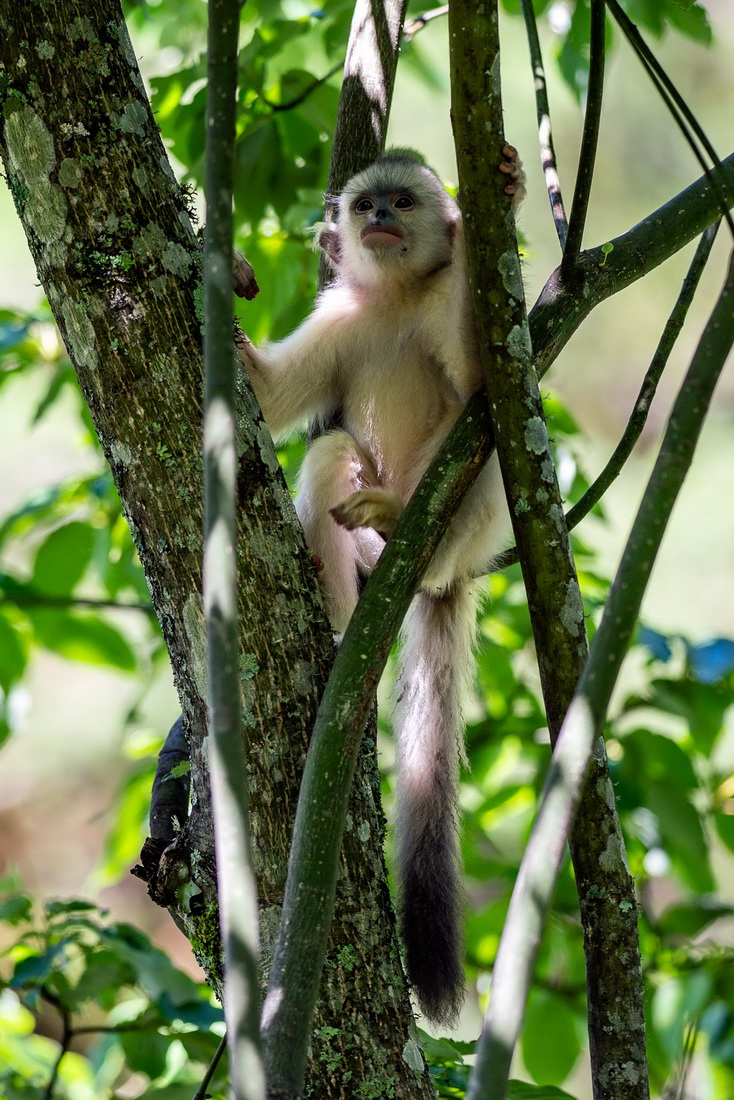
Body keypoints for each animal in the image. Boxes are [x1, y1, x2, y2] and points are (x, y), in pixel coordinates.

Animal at [238, 147, 525, 1026]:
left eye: (403, 202)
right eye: (367, 205)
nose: (377, 222)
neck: (397, 297)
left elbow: (484, 385)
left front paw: (503, 191)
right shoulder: (342, 315)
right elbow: (271, 401)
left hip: (461, 529)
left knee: (477, 446)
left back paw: (405, 521)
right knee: (332, 452)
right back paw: (336, 608)